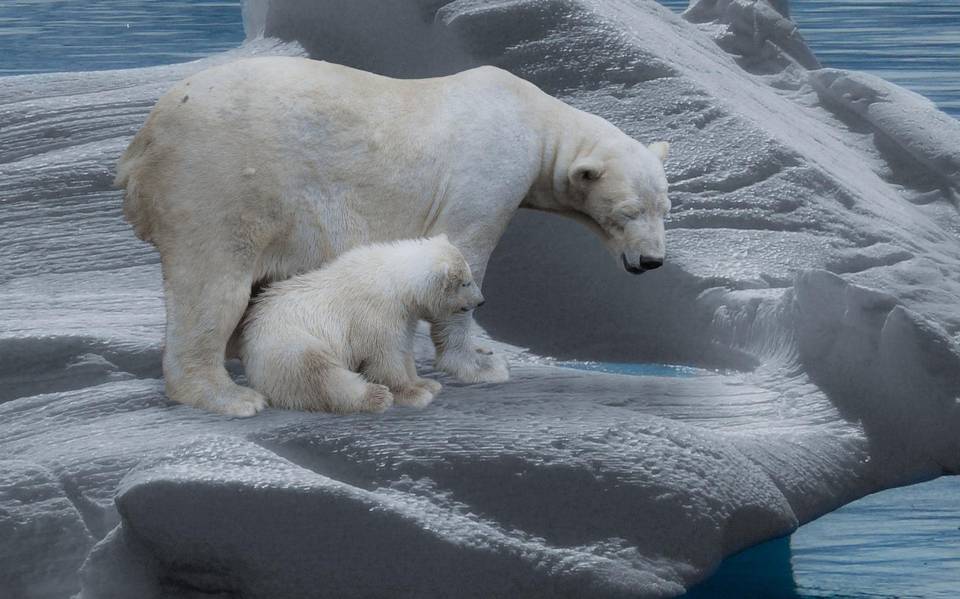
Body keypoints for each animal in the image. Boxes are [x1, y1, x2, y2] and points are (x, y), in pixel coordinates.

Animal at [120, 56, 672, 418]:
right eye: (627, 213)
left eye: (665, 209)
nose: (652, 261)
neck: (535, 119)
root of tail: (141, 143)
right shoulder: (487, 174)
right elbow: (466, 249)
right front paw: (480, 363)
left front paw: (483, 355)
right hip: (218, 181)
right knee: (215, 286)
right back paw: (229, 396)